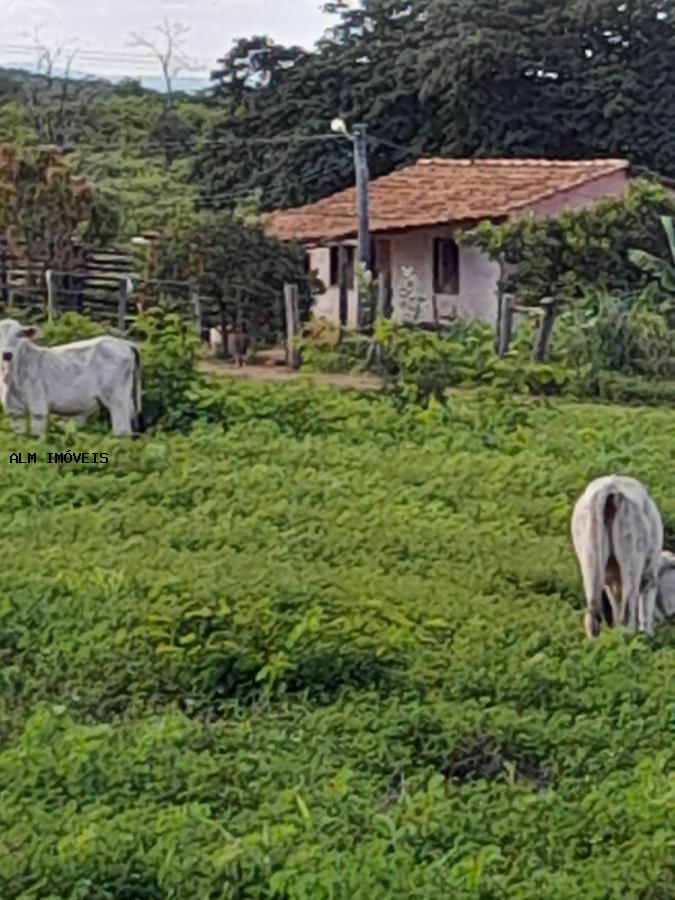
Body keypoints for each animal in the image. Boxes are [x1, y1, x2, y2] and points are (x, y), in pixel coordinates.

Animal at [0, 320, 143, 440]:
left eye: (19, 334)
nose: (7, 355)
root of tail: (124, 343)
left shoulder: (38, 408)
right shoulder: (14, 411)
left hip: (117, 399)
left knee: (122, 430)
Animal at [572, 478, 664, 640]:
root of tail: (610, 487)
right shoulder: (650, 576)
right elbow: (646, 611)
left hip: (589, 555)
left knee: (593, 613)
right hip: (632, 559)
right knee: (627, 614)